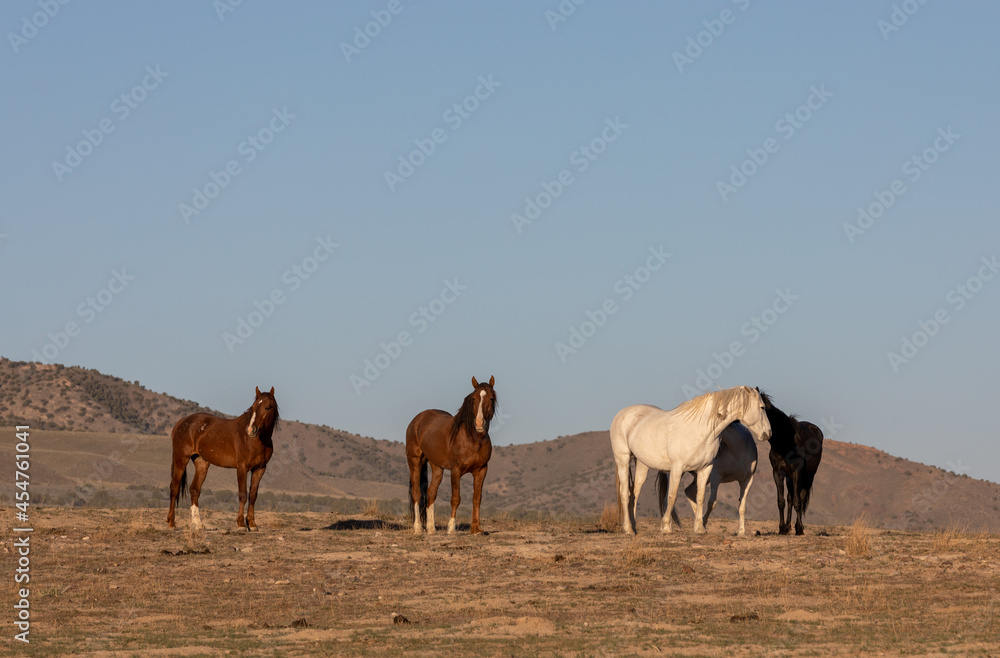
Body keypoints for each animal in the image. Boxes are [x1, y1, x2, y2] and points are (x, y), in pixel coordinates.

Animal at [166, 384, 280, 528]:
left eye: (267, 407)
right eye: (253, 407)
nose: (251, 430)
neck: (255, 440)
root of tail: (180, 423)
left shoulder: (260, 469)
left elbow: (253, 496)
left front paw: (252, 524)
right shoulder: (242, 468)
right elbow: (243, 494)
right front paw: (241, 524)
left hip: (201, 463)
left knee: (194, 490)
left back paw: (198, 523)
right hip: (181, 459)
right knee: (174, 487)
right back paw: (171, 522)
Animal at [406, 374, 496, 532]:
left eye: (491, 398)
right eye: (474, 398)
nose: (479, 423)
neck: (473, 439)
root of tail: (417, 420)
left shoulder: (481, 470)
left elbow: (477, 498)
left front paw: (476, 529)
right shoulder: (456, 470)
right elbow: (455, 498)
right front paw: (451, 528)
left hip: (437, 468)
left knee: (431, 493)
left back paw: (431, 529)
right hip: (415, 462)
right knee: (417, 494)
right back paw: (418, 528)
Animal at [608, 384, 772, 532]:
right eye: (762, 407)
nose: (768, 433)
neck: (699, 430)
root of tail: (622, 414)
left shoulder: (706, 469)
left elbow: (701, 497)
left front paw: (699, 528)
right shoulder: (678, 468)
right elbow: (672, 496)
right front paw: (666, 527)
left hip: (643, 465)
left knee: (635, 493)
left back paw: (634, 527)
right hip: (623, 460)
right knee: (625, 493)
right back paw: (628, 528)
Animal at [760, 390, 824, 532]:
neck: (784, 444)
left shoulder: (797, 473)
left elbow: (797, 501)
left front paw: (799, 528)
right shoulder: (778, 473)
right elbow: (781, 501)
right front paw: (782, 528)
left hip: (809, 476)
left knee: (800, 496)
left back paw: (796, 526)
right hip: (790, 477)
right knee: (790, 498)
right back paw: (788, 525)